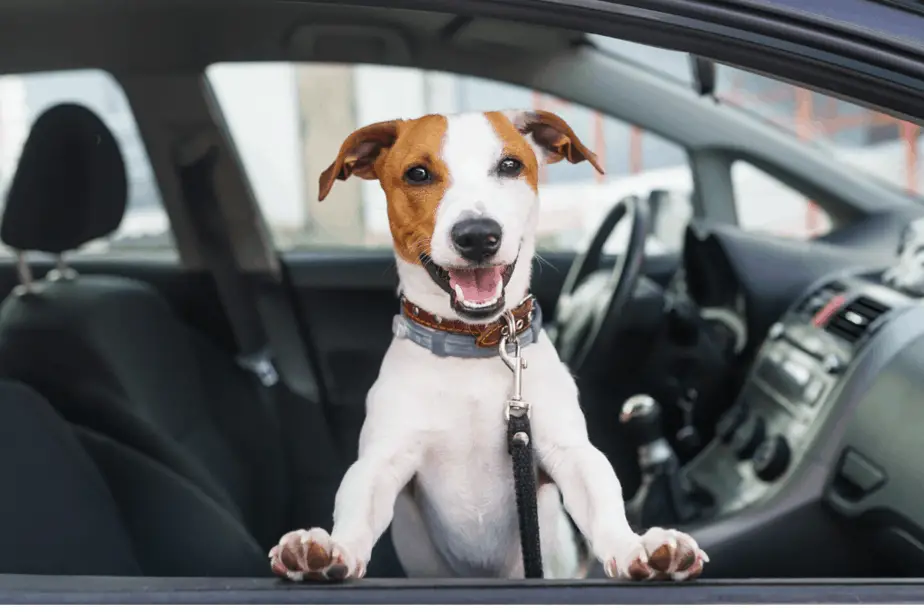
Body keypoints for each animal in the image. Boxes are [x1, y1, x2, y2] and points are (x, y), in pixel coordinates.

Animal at [270, 110, 712, 584]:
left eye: (510, 165)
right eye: (418, 174)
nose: (478, 235)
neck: (473, 346)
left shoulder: (567, 450)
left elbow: (601, 495)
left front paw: (636, 546)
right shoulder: (383, 458)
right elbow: (356, 504)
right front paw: (330, 550)